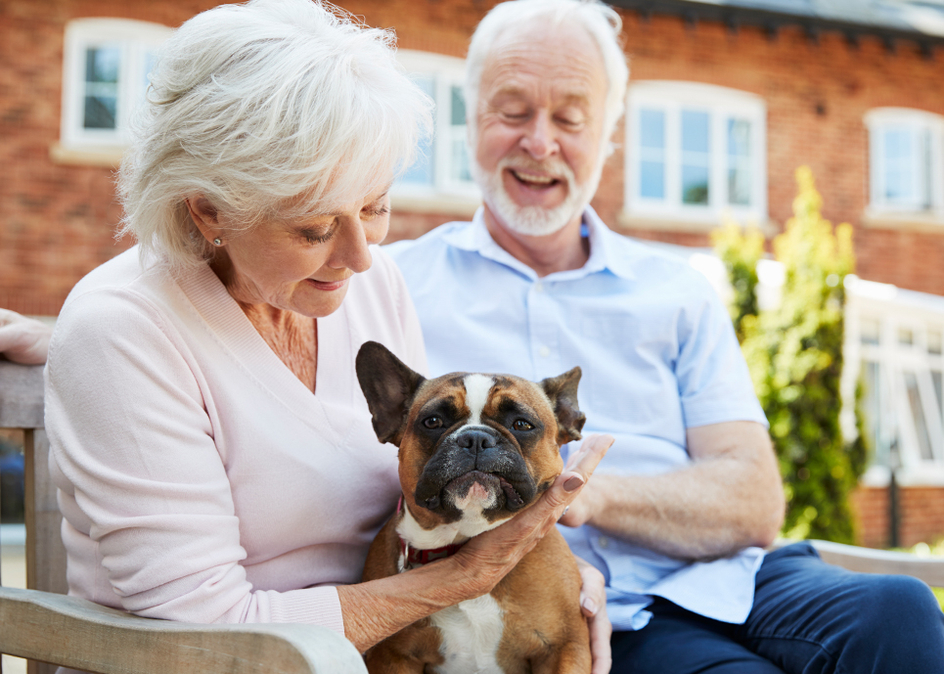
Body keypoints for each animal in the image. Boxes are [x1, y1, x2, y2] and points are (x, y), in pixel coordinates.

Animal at [354, 342, 592, 672]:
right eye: (433, 422)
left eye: (522, 424)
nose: (476, 437)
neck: (463, 536)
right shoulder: (392, 657)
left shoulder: (565, 648)